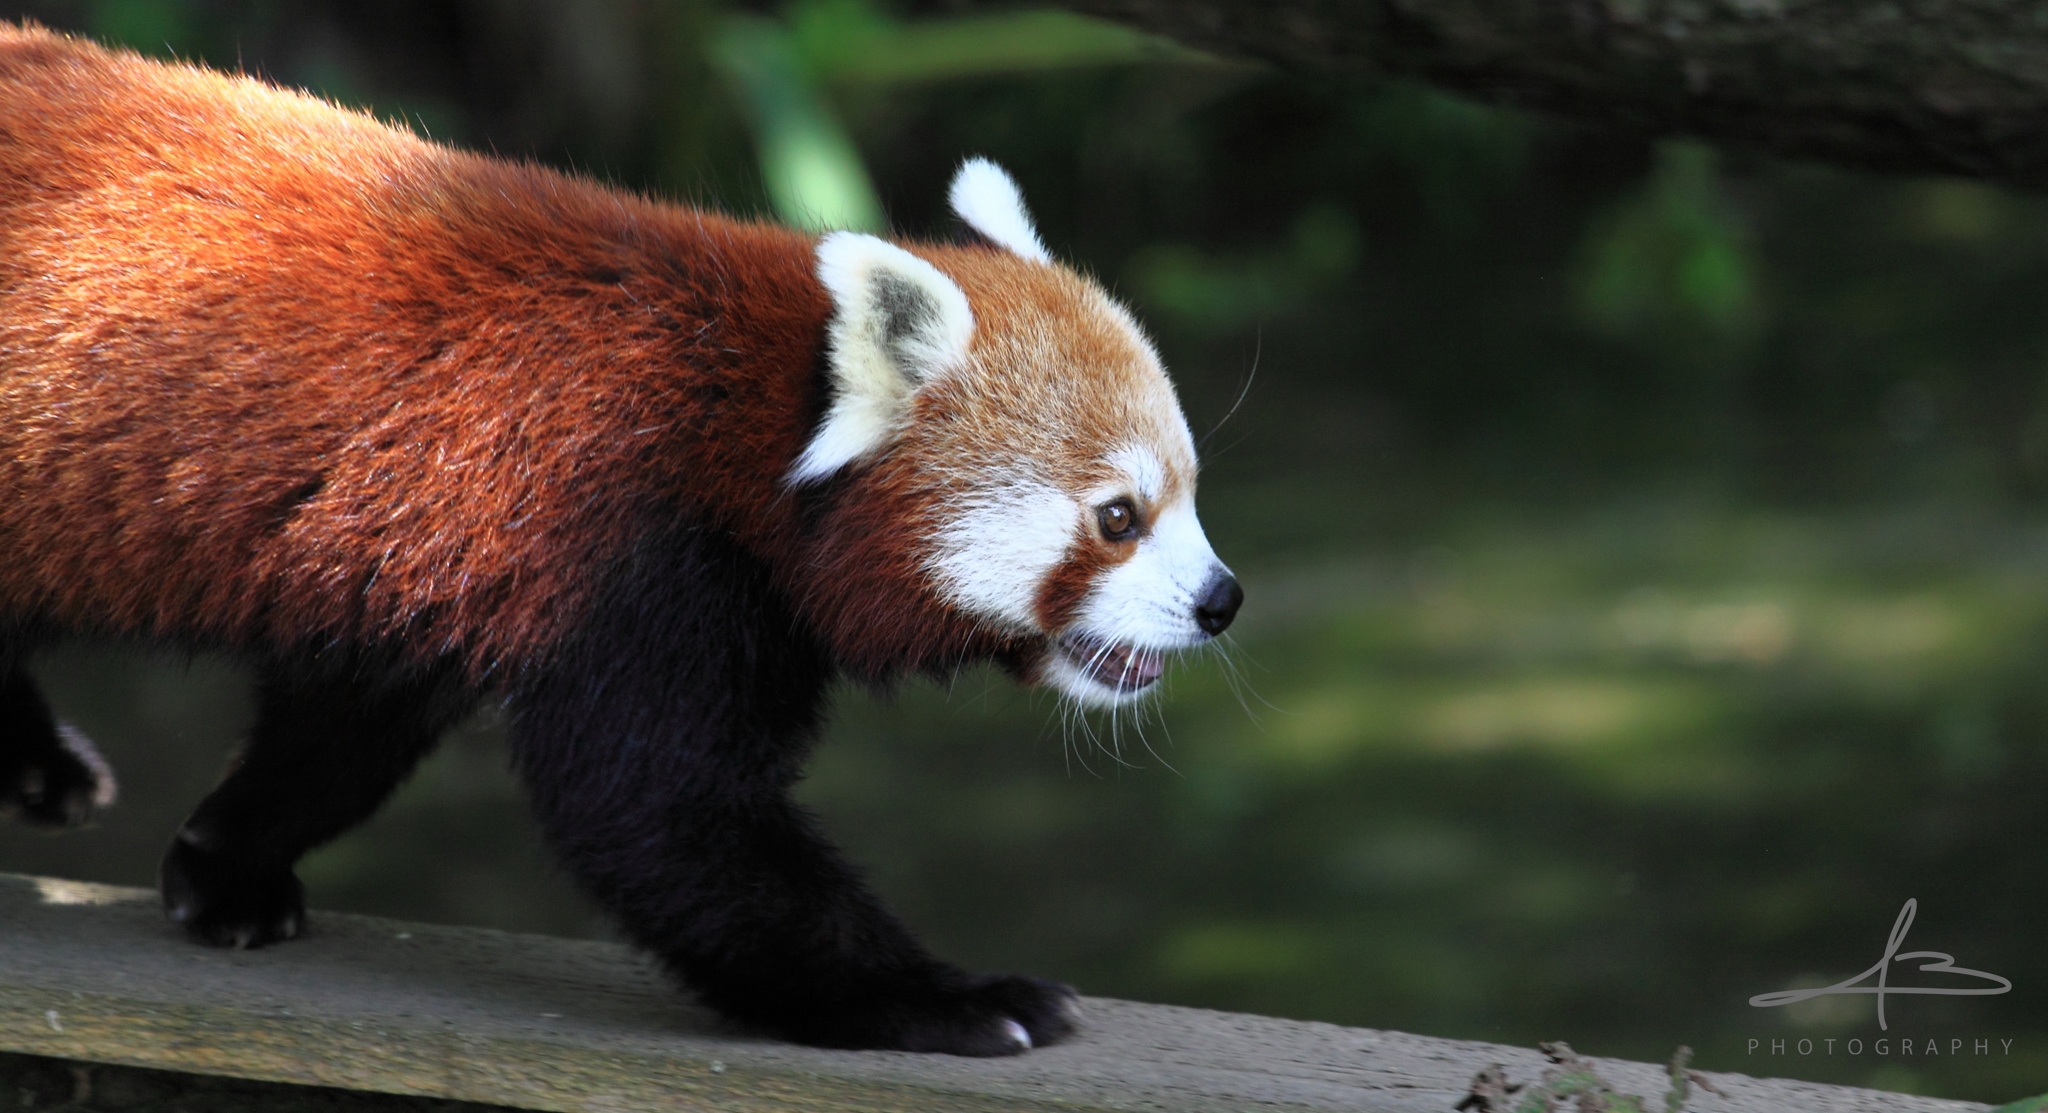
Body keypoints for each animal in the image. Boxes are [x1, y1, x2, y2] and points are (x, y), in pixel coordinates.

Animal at [0, 24, 1241, 1056]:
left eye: (1186, 496)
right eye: (1117, 518)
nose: (1220, 600)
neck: (746, 415)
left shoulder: (405, 553)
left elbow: (351, 718)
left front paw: (229, 858)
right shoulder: (631, 548)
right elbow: (660, 811)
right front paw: (944, 999)